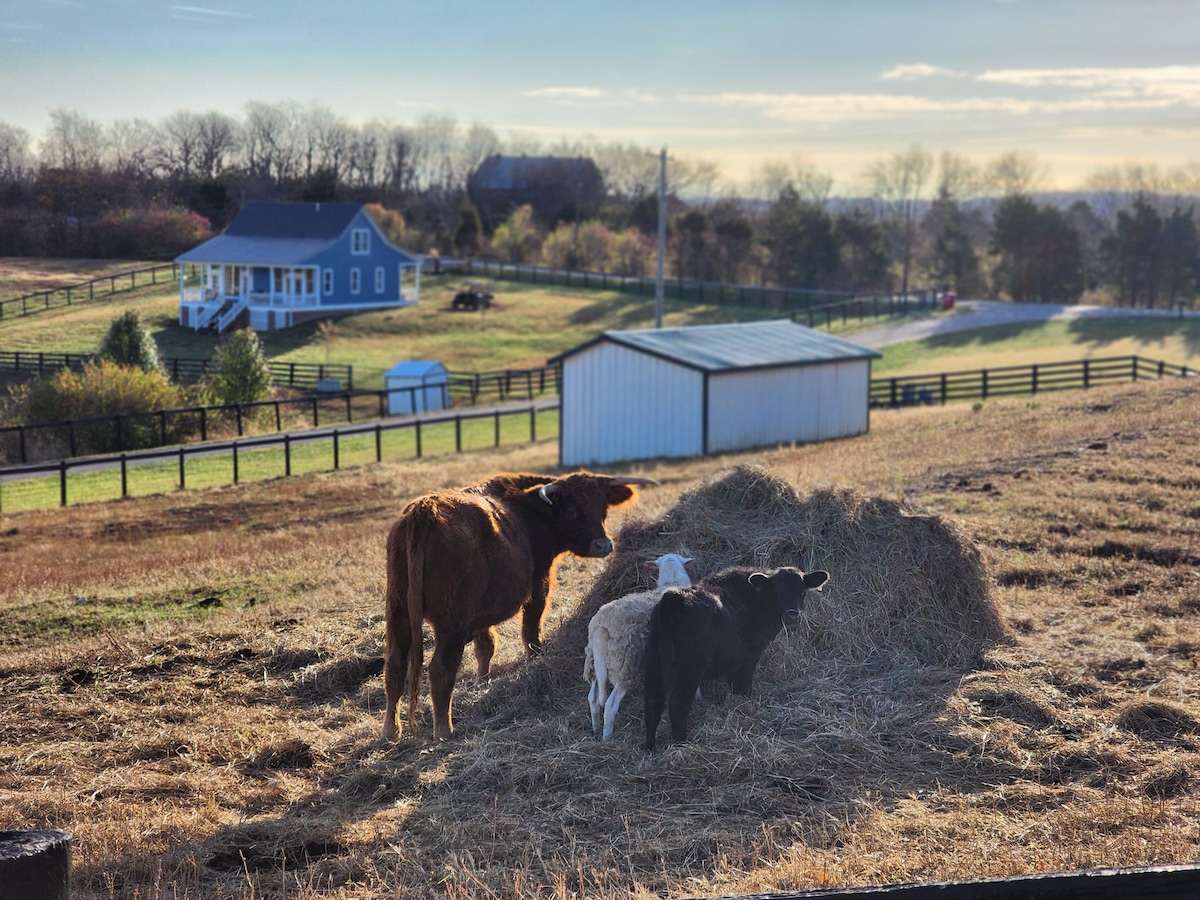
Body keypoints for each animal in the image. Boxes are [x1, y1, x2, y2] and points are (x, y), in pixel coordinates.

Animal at [384, 472, 652, 739]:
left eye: (603, 508)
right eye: (572, 511)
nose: (603, 545)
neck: (531, 511)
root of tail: (425, 510)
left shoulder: (480, 614)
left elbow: (486, 646)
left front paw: (483, 682)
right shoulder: (538, 586)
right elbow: (530, 633)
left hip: (399, 613)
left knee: (395, 666)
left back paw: (390, 730)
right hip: (451, 623)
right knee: (440, 669)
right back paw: (443, 730)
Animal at [583, 554, 696, 744]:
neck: (671, 582)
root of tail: (601, 627)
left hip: (594, 664)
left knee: (593, 697)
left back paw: (595, 729)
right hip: (623, 665)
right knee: (610, 704)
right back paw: (607, 736)